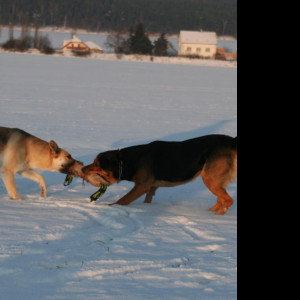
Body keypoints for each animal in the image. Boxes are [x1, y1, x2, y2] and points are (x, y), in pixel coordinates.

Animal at [81, 135, 237, 214]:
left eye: (96, 164)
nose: (82, 169)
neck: (127, 160)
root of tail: (232, 140)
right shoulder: (151, 187)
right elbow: (147, 199)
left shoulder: (141, 186)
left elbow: (123, 200)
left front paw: (111, 207)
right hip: (214, 180)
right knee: (221, 200)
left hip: (210, 178)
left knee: (228, 201)